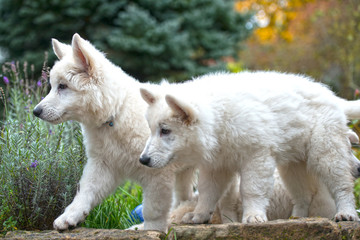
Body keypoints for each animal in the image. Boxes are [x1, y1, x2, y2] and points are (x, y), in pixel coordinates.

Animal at [139, 71, 360, 225]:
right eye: (152, 129)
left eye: (165, 131)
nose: (143, 160)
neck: (219, 119)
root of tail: (332, 97)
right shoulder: (217, 164)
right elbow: (207, 191)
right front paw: (198, 215)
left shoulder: (257, 155)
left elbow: (251, 189)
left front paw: (253, 216)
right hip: (293, 164)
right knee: (303, 194)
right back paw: (297, 218)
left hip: (326, 150)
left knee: (341, 184)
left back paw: (346, 212)